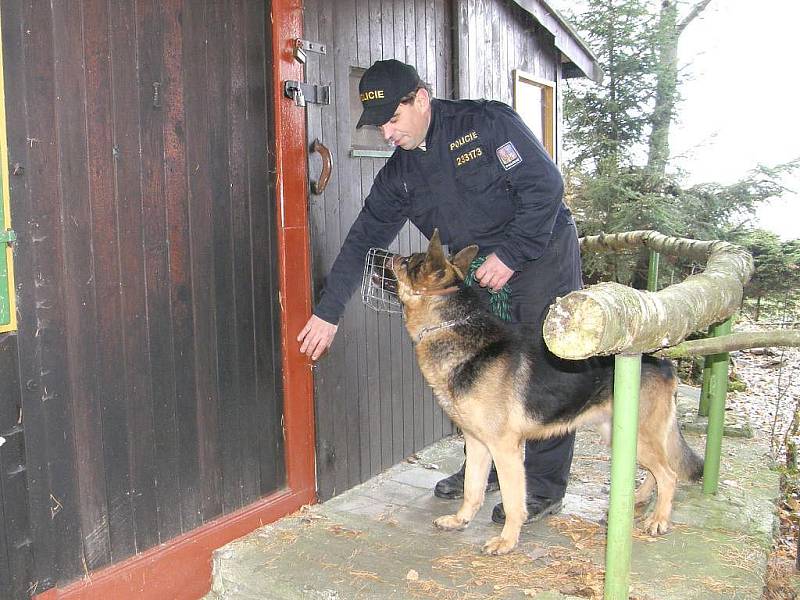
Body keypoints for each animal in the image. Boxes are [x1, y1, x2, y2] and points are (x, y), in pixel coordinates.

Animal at [384, 232, 704, 556]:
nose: (390, 256)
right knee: (657, 471)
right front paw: (460, 520)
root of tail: (663, 357)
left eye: (409, 261)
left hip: (638, 435)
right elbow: (472, 490)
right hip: (620, 435)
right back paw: (638, 500)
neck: (452, 328)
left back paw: (658, 519)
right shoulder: (477, 444)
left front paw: (507, 541)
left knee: (669, 475)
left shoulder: (505, 449)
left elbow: (514, 501)